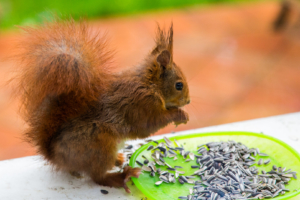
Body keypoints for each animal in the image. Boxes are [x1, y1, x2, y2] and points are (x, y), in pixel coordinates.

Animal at [13, 19, 190, 193]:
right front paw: (179, 115)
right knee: (98, 177)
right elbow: (149, 124)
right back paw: (121, 176)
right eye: (179, 85)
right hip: (99, 144)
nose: (188, 101)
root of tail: (55, 156)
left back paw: (118, 159)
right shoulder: (143, 104)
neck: (149, 84)